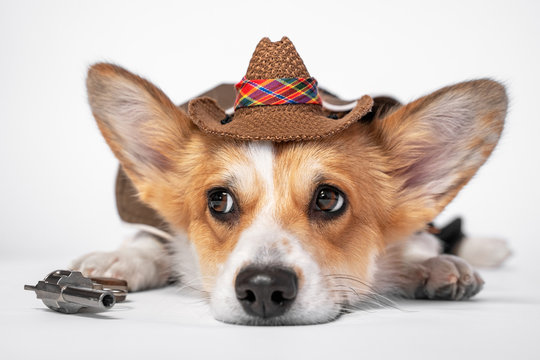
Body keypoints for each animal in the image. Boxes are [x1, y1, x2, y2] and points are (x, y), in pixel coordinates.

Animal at [71, 38, 510, 324]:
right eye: (219, 201)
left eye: (329, 199)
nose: (264, 289)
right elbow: (152, 238)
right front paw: (122, 259)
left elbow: (414, 244)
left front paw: (428, 266)